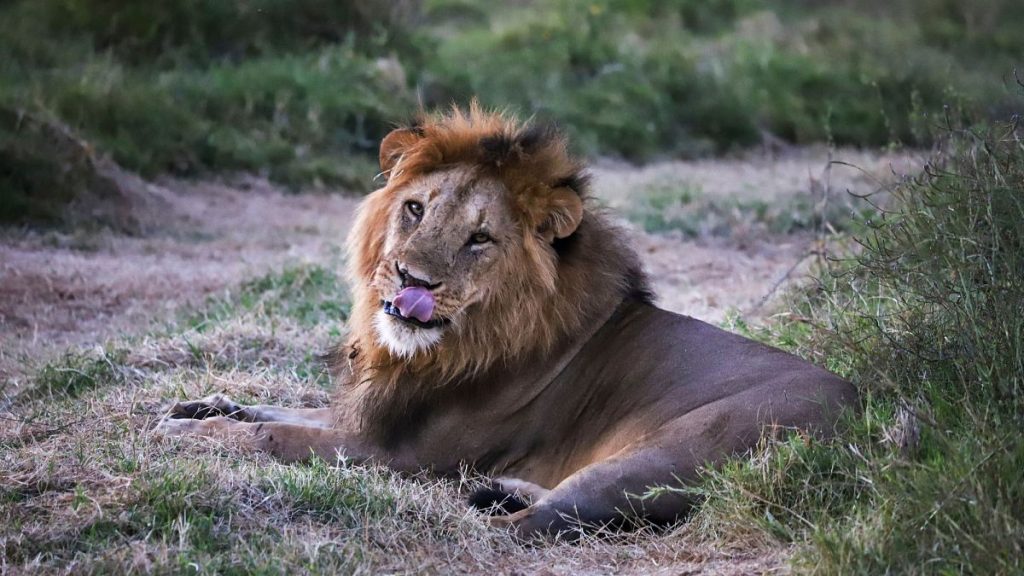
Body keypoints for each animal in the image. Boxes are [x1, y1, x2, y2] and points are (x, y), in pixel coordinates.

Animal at [158, 104, 856, 537]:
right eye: (414, 209)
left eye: (480, 238)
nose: (411, 281)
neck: (444, 347)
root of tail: (874, 425)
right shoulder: (364, 416)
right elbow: (279, 409)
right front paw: (199, 407)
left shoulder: (390, 452)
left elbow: (271, 437)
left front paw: (188, 436)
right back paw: (500, 487)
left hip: (664, 454)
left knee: (532, 529)